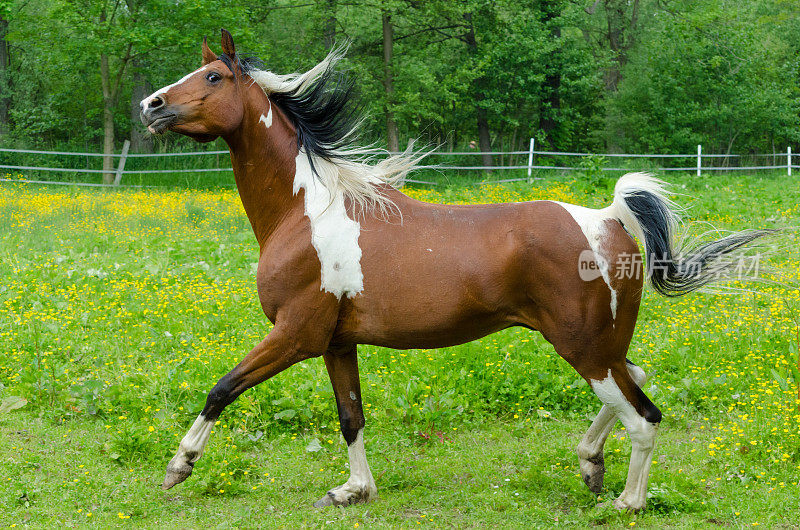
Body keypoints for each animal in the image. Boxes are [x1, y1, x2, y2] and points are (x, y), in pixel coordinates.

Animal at [141, 29, 772, 508]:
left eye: (213, 78)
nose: (150, 107)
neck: (307, 211)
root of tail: (610, 218)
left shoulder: (295, 334)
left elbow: (222, 388)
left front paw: (179, 466)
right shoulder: (336, 342)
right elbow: (351, 417)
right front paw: (354, 490)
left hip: (583, 347)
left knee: (643, 417)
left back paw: (626, 501)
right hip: (603, 345)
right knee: (637, 383)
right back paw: (590, 464)